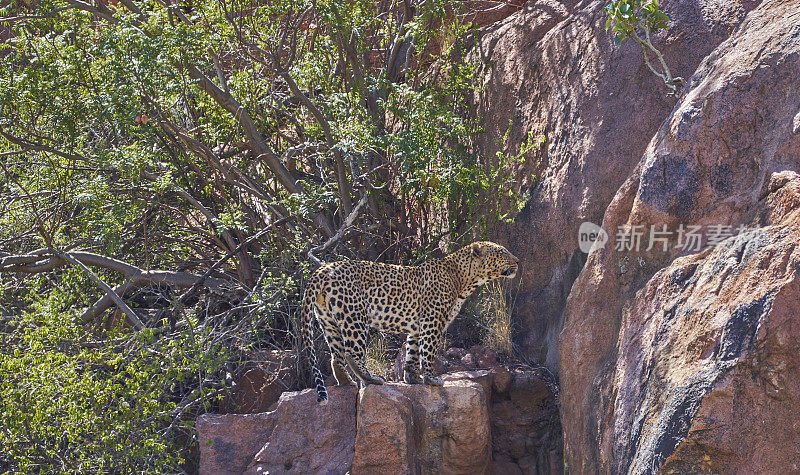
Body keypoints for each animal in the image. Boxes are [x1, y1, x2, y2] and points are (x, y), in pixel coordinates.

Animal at [300, 242, 520, 406]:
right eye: (502, 252)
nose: (518, 261)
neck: (462, 278)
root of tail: (322, 269)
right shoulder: (433, 321)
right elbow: (428, 352)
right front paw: (431, 379)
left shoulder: (417, 327)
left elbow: (413, 353)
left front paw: (412, 378)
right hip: (354, 315)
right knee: (351, 353)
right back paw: (371, 379)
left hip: (328, 320)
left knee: (336, 357)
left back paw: (348, 382)